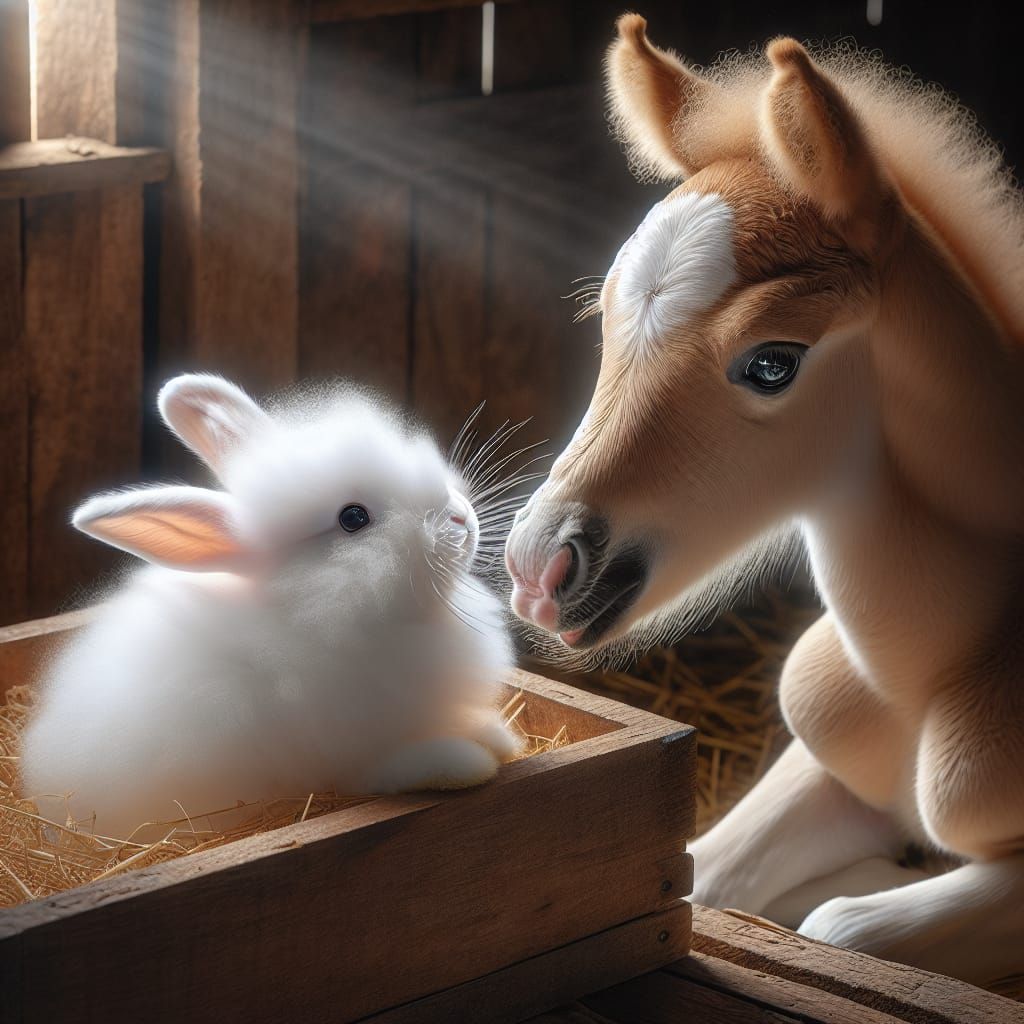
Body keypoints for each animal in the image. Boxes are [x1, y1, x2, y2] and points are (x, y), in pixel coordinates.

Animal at [20, 374, 522, 838]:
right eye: (353, 518)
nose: (461, 518)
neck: (314, 606)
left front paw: (499, 735)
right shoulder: (352, 753)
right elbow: (399, 767)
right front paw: (473, 761)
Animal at [504, 14, 1024, 987]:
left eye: (773, 363)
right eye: (606, 318)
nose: (537, 566)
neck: (930, 672)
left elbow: (838, 927)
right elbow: (705, 875)